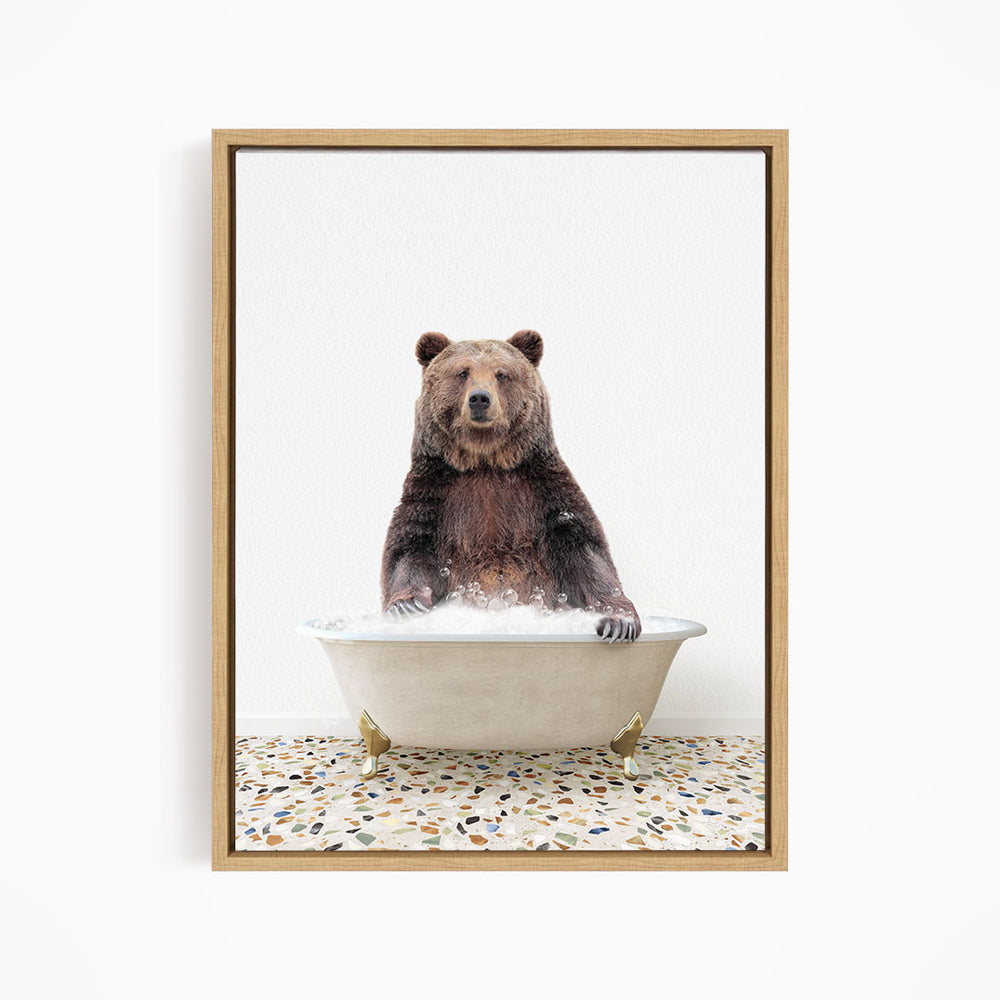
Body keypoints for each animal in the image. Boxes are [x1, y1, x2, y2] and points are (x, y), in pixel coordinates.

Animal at [381, 330, 642, 643]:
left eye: (502, 373)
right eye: (462, 372)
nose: (480, 398)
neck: (486, 461)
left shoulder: (543, 490)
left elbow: (585, 551)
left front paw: (618, 622)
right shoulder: (435, 492)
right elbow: (410, 549)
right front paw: (406, 606)